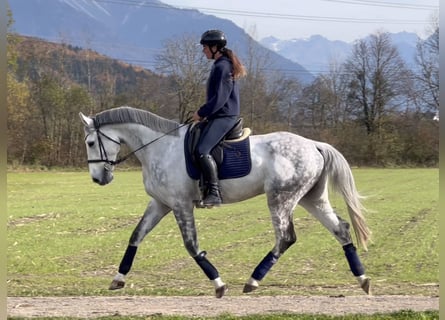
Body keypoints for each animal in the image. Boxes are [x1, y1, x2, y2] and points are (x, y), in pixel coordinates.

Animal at [80, 107, 372, 298]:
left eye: (91, 142)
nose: (97, 178)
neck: (159, 147)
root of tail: (313, 145)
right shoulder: (161, 203)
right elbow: (136, 236)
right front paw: (118, 278)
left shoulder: (180, 204)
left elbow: (191, 245)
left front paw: (219, 284)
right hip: (312, 199)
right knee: (341, 230)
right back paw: (363, 279)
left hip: (281, 199)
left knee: (285, 238)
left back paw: (252, 281)